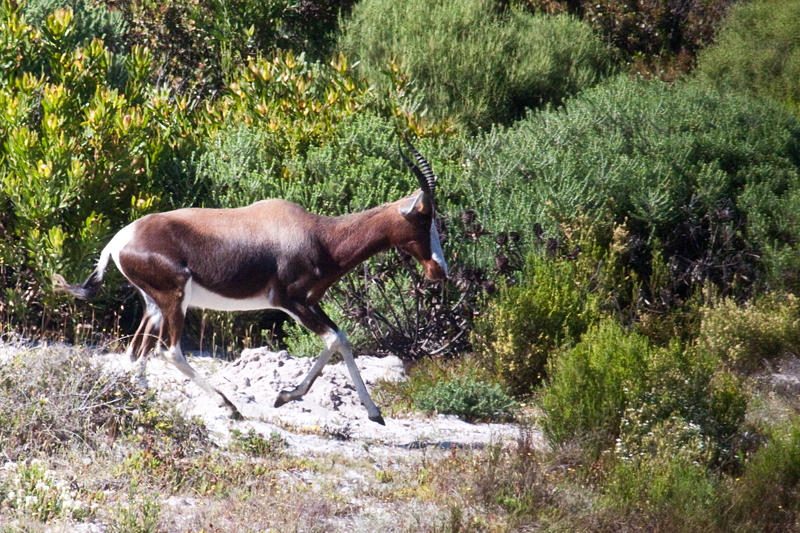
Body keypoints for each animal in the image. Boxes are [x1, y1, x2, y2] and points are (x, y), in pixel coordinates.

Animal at [53, 137, 446, 424]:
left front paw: (374, 412)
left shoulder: (311, 302)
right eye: (424, 217)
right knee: (170, 350)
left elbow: (344, 340)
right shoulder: (290, 302)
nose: (438, 270)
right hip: (174, 300)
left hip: (154, 306)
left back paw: (142, 401)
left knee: (137, 351)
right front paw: (285, 396)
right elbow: (335, 339)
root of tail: (118, 241)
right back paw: (229, 406)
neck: (317, 233)